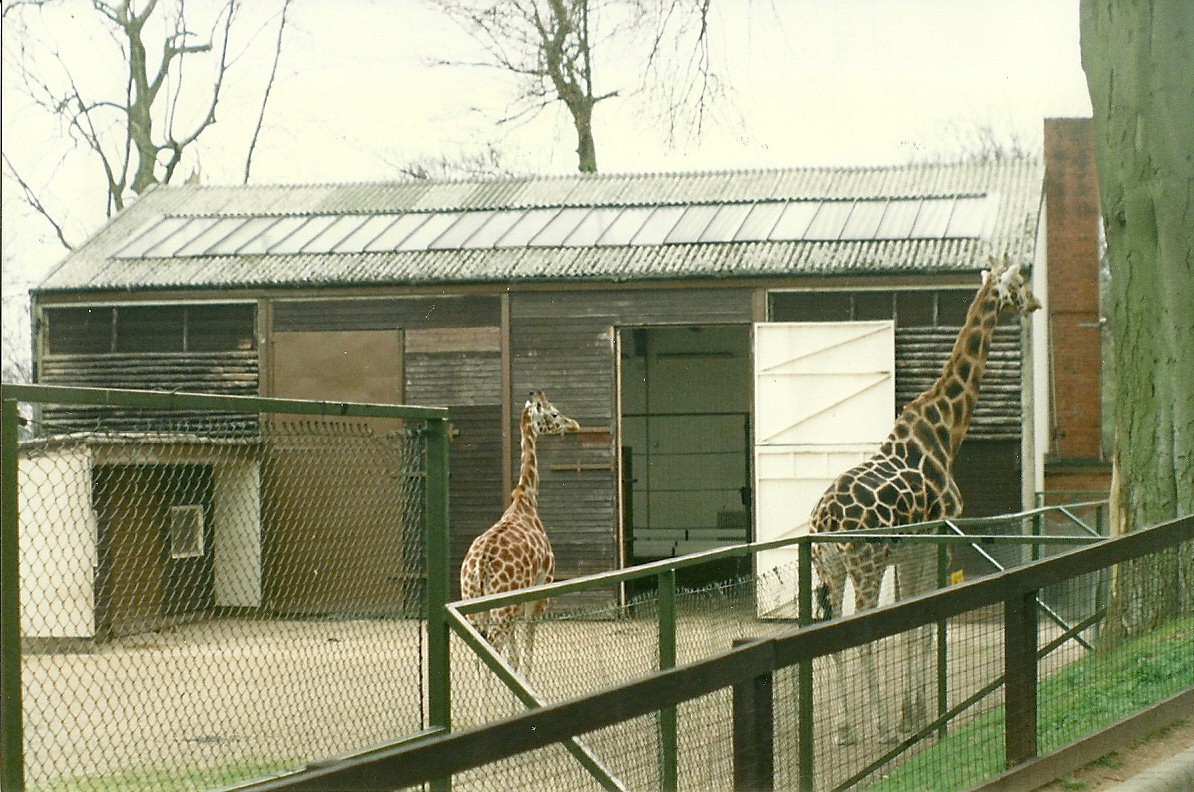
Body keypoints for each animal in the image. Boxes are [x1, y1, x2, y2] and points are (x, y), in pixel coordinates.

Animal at [460, 390, 580, 671]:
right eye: (554, 413)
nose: (574, 424)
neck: (526, 500)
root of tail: (479, 566)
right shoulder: (541, 588)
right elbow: (526, 652)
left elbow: (513, 658)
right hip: (500, 606)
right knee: (494, 646)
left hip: (473, 604)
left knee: (482, 653)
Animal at [809, 254, 1041, 745]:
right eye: (1019, 283)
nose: (1036, 303)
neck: (945, 430)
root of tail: (824, 522)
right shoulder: (939, 536)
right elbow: (928, 624)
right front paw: (918, 715)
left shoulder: (912, 549)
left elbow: (913, 622)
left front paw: (911, 712)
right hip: (866, 562)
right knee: (861, 632)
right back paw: (879, 729)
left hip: (828, 566)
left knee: (832, 633)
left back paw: (844, 729)